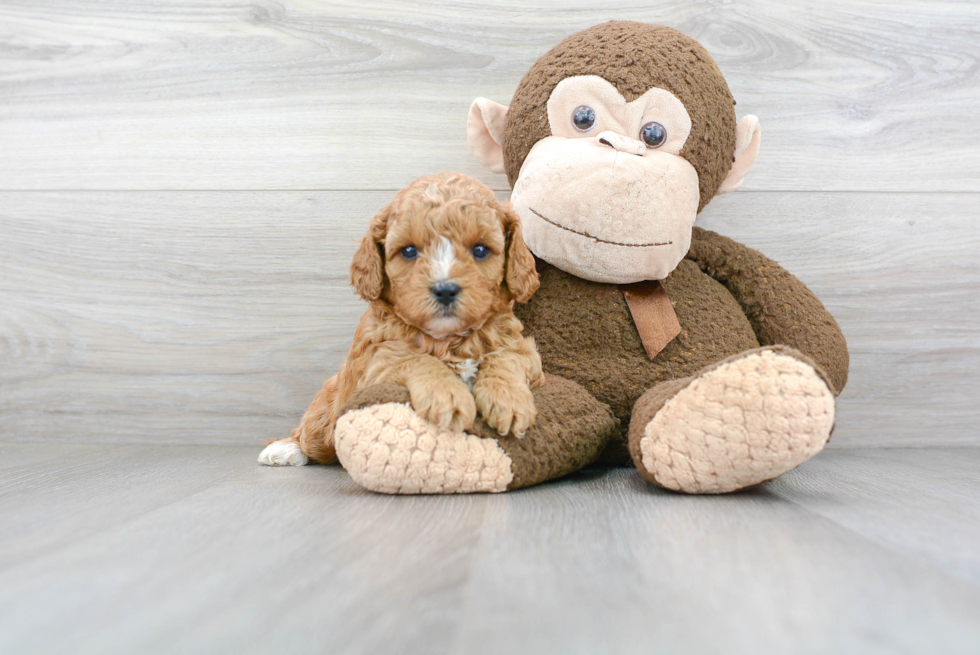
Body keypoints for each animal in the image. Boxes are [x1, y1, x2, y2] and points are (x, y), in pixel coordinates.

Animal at [260, 169, 544, 466]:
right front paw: (447, 396)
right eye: (409, 251)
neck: (448, 339)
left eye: (480, 250)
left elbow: (505, 359)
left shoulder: (525, 351)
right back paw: (285, 448)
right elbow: (415, 359)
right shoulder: (374, 367)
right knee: (312, 434)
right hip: (326, 411)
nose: (445, 290)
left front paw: (508, 399)